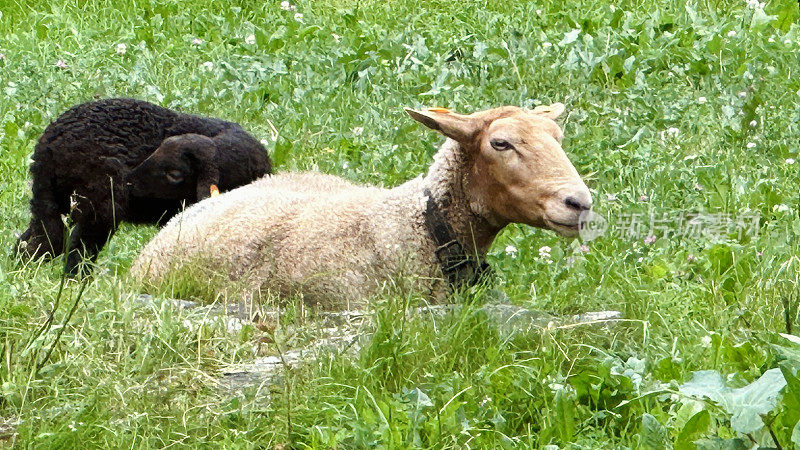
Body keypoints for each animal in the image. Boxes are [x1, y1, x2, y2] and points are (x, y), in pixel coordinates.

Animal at [14, 98, 272, 274]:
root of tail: (48, 146)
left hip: (50, 200)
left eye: (175, 174)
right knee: (78, 249)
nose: (130, 183)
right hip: (100, 203)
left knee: (40, 241)